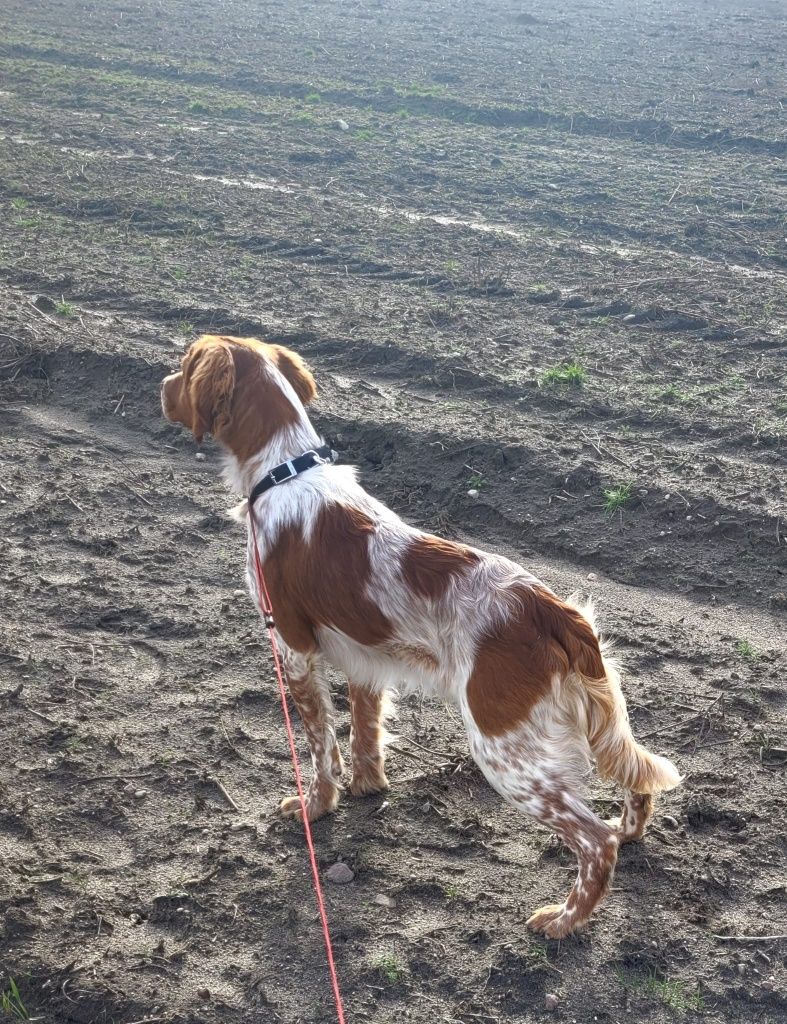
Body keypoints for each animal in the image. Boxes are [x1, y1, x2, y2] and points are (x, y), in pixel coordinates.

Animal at [157, 333, 675, 937]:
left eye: (183, 364)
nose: (160, 386)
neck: (285, 471)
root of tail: (549, 608)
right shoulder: (365, 658)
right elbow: (364, 734)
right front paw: (367, 788)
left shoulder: (293, 648)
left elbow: (320, 745)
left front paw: (316, 807)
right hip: (590, 714)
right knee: (635, 782)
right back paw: (630, 830)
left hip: (503, 750)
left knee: (595, 842)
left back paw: (562, 919)